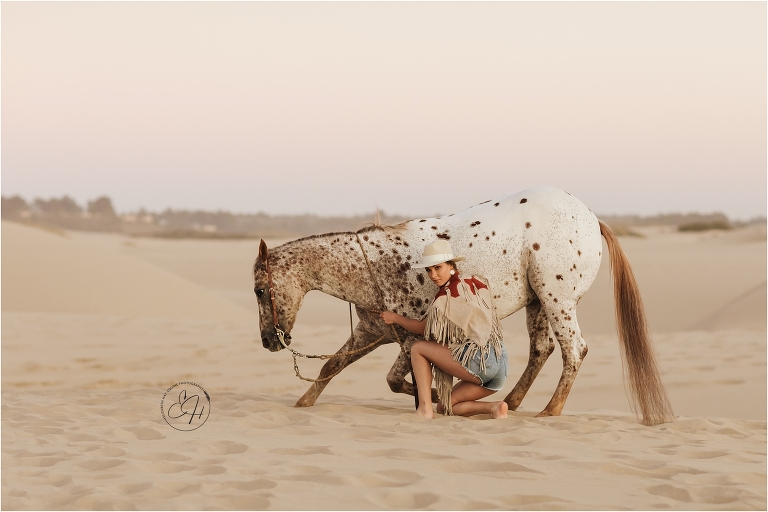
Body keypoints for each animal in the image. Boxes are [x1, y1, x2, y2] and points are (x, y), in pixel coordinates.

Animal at [252, 186, 674, 426]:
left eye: (258, 290)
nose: (268, 342)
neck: (377, 265)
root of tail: (591, 218)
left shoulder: (410, 338)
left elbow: (396, 380)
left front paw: (434, 401)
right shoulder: (372, 332)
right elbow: (333, 366)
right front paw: (303, 403)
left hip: (558, 300)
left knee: (574, 350)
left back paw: (549, 411)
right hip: (538, 302)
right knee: (542, 349)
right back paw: (512, 402)